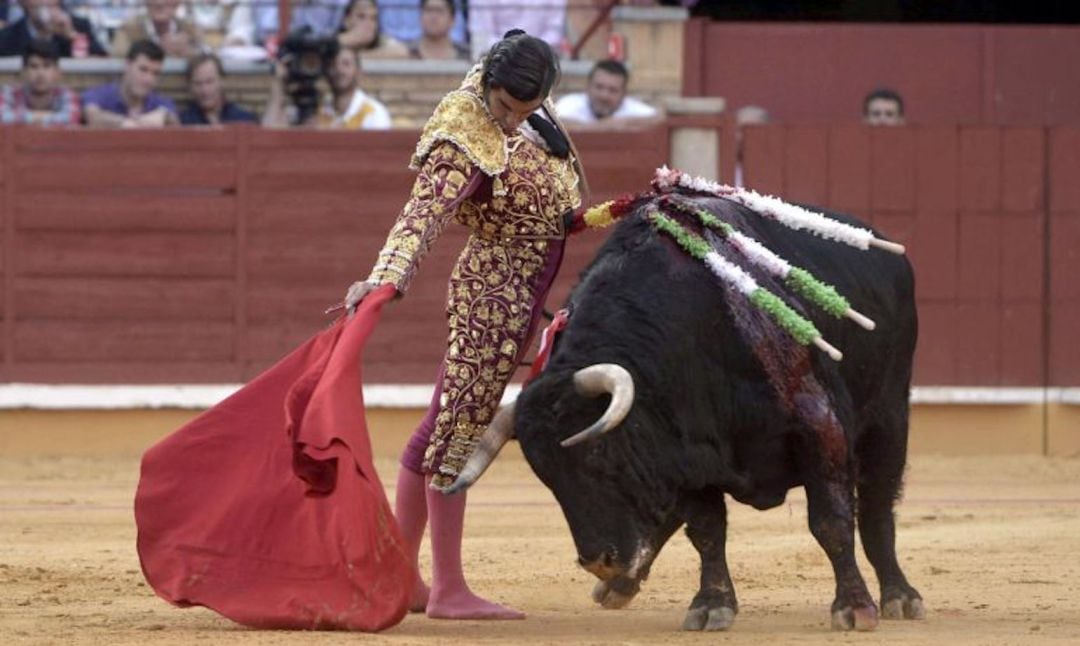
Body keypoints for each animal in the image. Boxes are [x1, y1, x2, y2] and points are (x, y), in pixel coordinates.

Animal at [442, 184, 924, 635]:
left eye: (599, 454)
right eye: (546, 476)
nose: (599, 561)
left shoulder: (819, 425)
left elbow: (831, 520)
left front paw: (854, 608)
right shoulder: (686, 450)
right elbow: (706, 529)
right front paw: (711, 605)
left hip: (889, 419)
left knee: (877, 505)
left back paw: (900, 596)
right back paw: (619, 586)